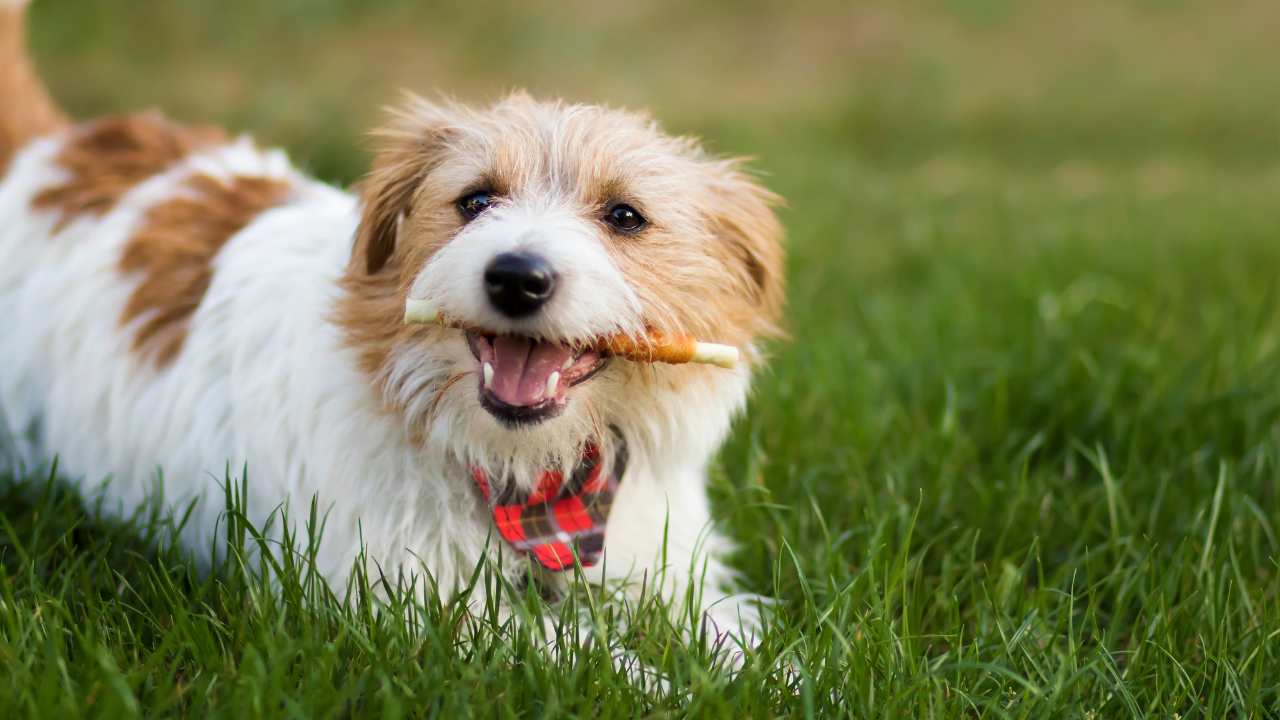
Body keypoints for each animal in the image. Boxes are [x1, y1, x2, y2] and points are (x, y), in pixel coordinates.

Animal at [0, 0, 778, 640]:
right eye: (475, 200)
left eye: (624, 216)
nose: (516, 276)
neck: (533, 481)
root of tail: (48, 151)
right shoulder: (418, 609)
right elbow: (606, 666)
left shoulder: (668, 572)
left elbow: (742, 644)